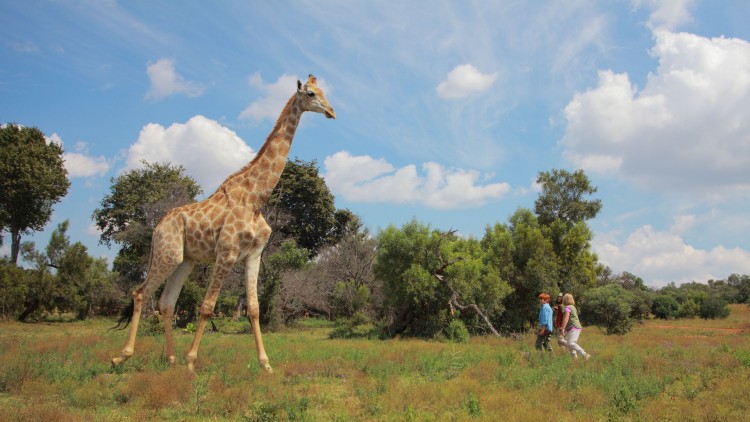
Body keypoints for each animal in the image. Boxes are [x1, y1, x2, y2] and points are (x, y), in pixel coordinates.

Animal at [111, 74, 334, 370]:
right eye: (310, 94)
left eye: (324, 92)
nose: (331, 112)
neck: (256, 197)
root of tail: (157, 228)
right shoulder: (226, 253)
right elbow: (207, 307)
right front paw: (191, 362)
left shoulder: (253, 255)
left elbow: (254, 308)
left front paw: (265, 364)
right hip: (167, 254)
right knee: (140, 294)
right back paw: (122, 356)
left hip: (185, 260)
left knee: (166, 302)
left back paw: (170, 358)